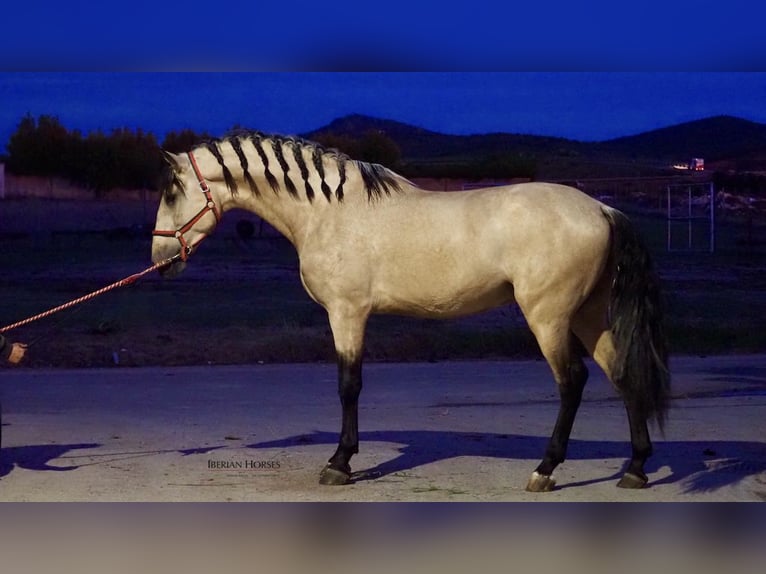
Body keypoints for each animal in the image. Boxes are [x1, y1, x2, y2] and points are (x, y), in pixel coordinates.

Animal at [152, 132, 672, 496]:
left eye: (173, 190)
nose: (160, 259)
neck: (330, 211)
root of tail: (603, 209)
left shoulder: (347, 314)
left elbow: (349, 385)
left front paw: (339, 464)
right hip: (589, 316)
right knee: (623, 375)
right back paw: (636, 469)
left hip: (548, 316)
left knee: (572, 382)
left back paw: (545, 471)